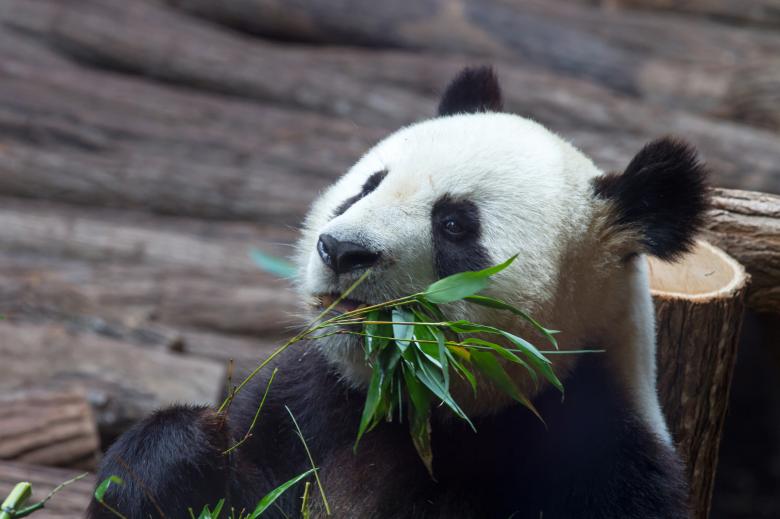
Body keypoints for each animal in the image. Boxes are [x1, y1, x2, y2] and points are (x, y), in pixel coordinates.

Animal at [88, 66, 708, 519]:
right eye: (368, 186)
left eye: (455, 224)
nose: (342, 250)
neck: (410, 406)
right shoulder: (305, 402)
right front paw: (184, 450)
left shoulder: (593, 463)